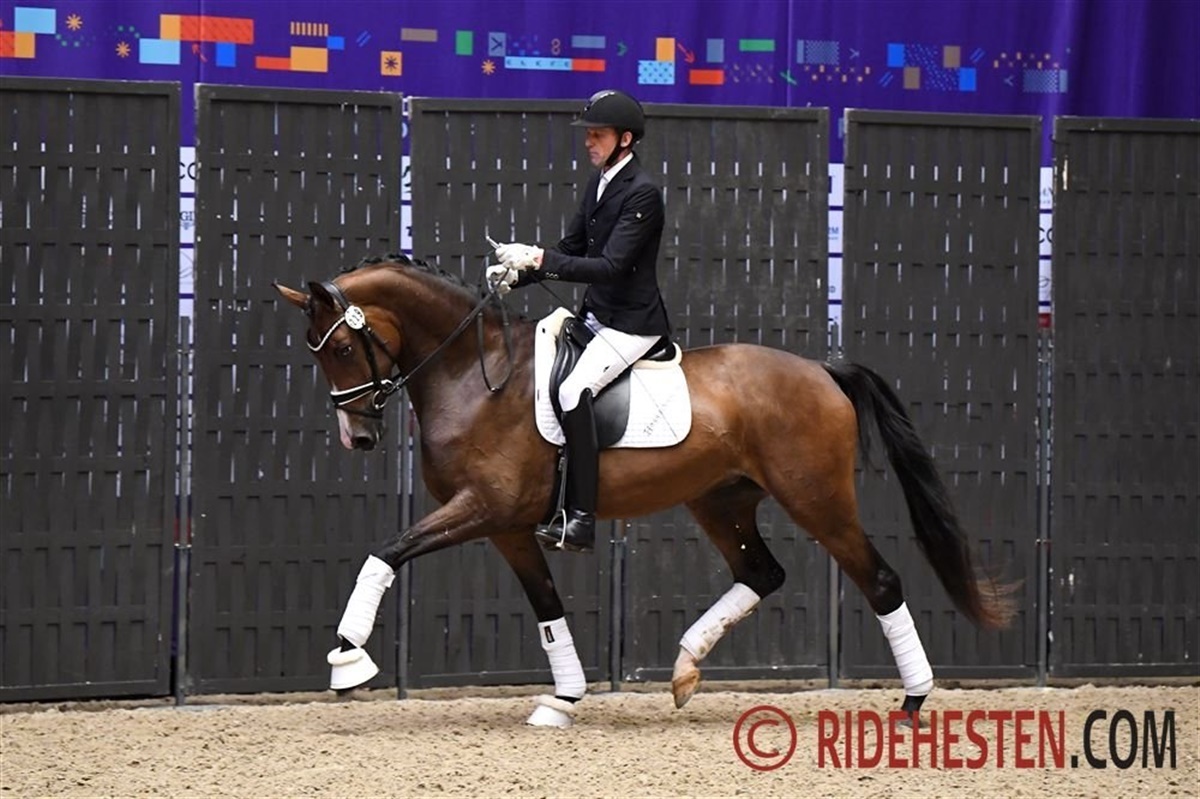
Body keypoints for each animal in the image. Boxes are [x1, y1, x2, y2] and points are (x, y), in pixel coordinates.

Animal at [274, 254, 1015, 728]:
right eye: (319, 352)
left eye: (340, 349)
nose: (359, 436)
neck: (471, 374)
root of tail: (823, 370)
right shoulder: (506, 526)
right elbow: (547, 609)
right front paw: (564, 699)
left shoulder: (481, 508)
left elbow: (385, 551)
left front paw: (348, 658)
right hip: (720, 500)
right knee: (762, 572)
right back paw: (685, 669)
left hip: (818, 500)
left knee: (880, 581)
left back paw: (914, 702)